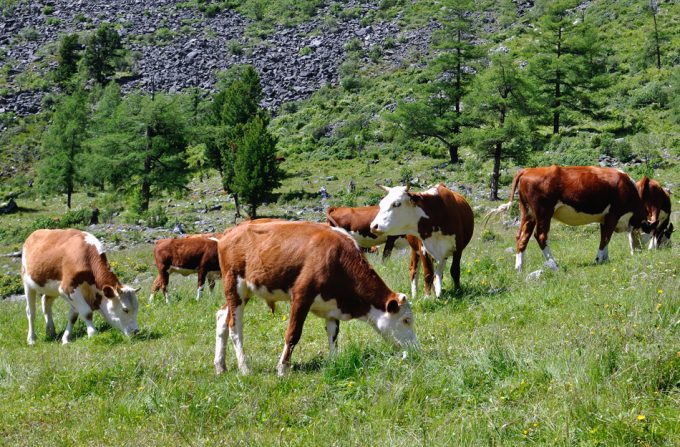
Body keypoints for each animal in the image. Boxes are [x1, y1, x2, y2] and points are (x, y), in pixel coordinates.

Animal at [212, 219, 418, 376]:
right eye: (406, 320)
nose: (416, 349)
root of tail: (231, 231)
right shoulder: (302, 296)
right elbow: (293, 334)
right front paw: (282, 369)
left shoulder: (333, 307)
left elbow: (333, 334)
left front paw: (334, 361)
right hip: (234, 284)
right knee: (235, 327)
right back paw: (245, 368)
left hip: (243, 291)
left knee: (222, 316)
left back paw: (220, 366)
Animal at [486, 164, 656, 270]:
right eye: (651, 234)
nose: (640, 252)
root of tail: (527, 171)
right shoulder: (613, 214)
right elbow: (606, 238)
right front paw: (599, 259)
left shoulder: (604, 218)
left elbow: (605, 237)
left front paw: (605, 258)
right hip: (543, 212)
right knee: (540, 236)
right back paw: (554, 265)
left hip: (528, 214)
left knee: (522, 237)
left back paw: (519, 268)